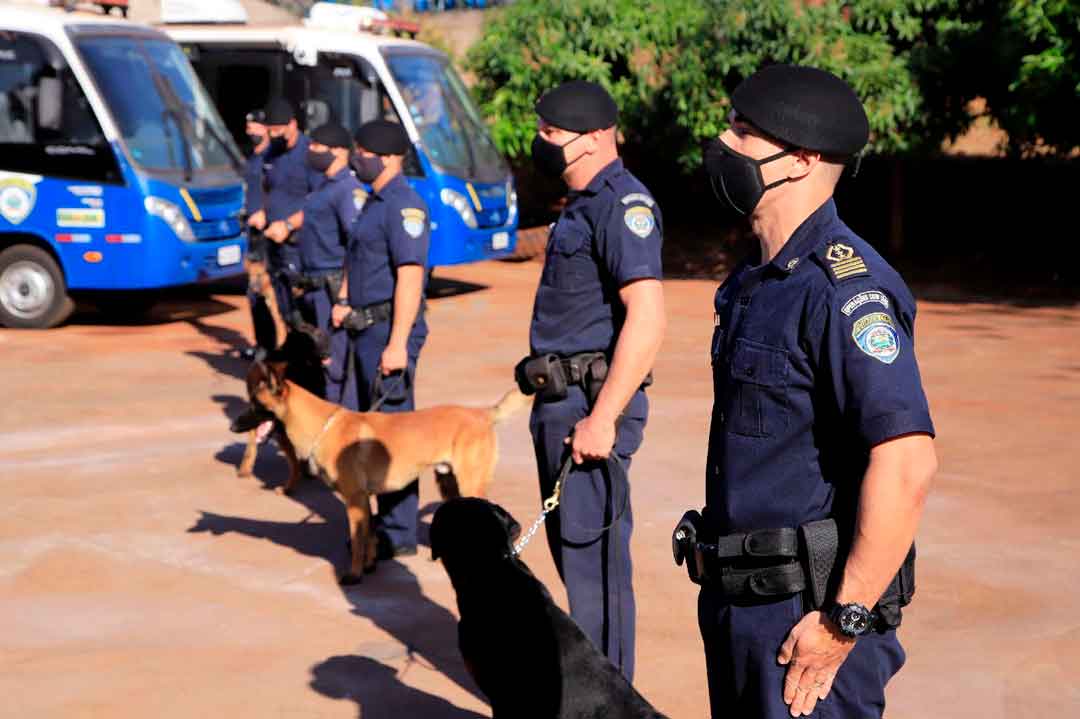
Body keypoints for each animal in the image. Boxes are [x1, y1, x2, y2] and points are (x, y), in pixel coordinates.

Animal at [244, 358, 531, 582]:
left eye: (255, 405)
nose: (235, 425)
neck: (324, 427)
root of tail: (482, 414)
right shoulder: (363, 501)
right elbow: (369, 534)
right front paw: (369, 565)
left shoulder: (355, 500)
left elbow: (358, 540)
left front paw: (354, 575)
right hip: (450, 485)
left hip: (469, 483)